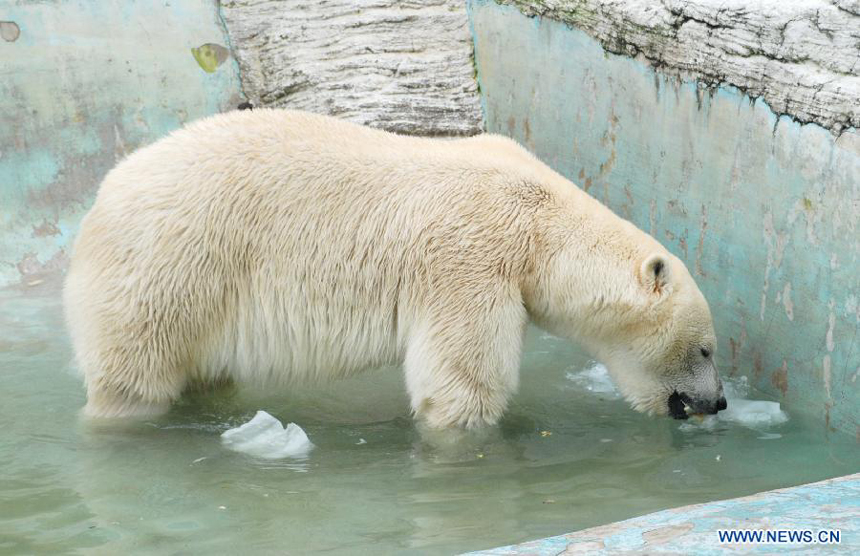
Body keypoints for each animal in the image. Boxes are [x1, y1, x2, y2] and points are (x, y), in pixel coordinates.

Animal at [63, 109, 728, 430]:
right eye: (706, 350)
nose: (718, 403)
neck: (539, 224)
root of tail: (99, 200)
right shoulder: (470, 260)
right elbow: (461, 383)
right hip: (168, 269)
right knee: (134, 378)